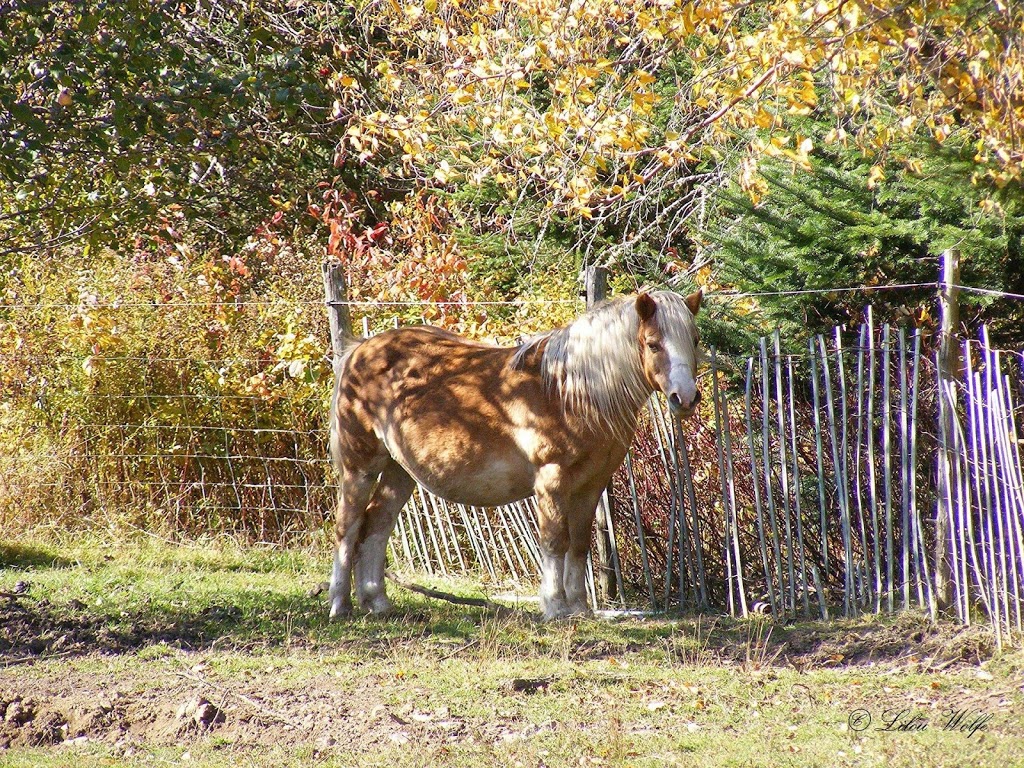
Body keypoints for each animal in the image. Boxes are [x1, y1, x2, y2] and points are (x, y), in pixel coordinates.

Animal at [327, 288, 704, 618]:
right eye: (653, 344)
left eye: (695, 341)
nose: (685, 398)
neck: (570, 391)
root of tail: (360, 350)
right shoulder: (552, 480)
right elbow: (554, 541)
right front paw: (555, 607)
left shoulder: (591, 485)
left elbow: (579, 545)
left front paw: (579, 608)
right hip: (360, 467)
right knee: (348, 526)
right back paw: (339, 605)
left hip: (400, 470)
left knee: (376, 526)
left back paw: (376, 602)